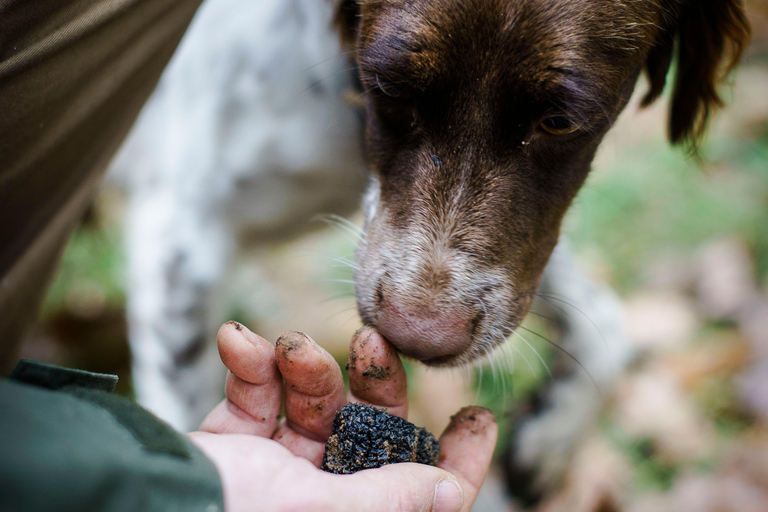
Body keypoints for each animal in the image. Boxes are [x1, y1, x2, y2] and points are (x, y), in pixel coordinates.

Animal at [111, 0, 748, 504]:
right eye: (390, 88)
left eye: (560, 121)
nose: (417, 340)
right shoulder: (182, 232)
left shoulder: (511, 255)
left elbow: (605, 323)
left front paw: (546, 439)